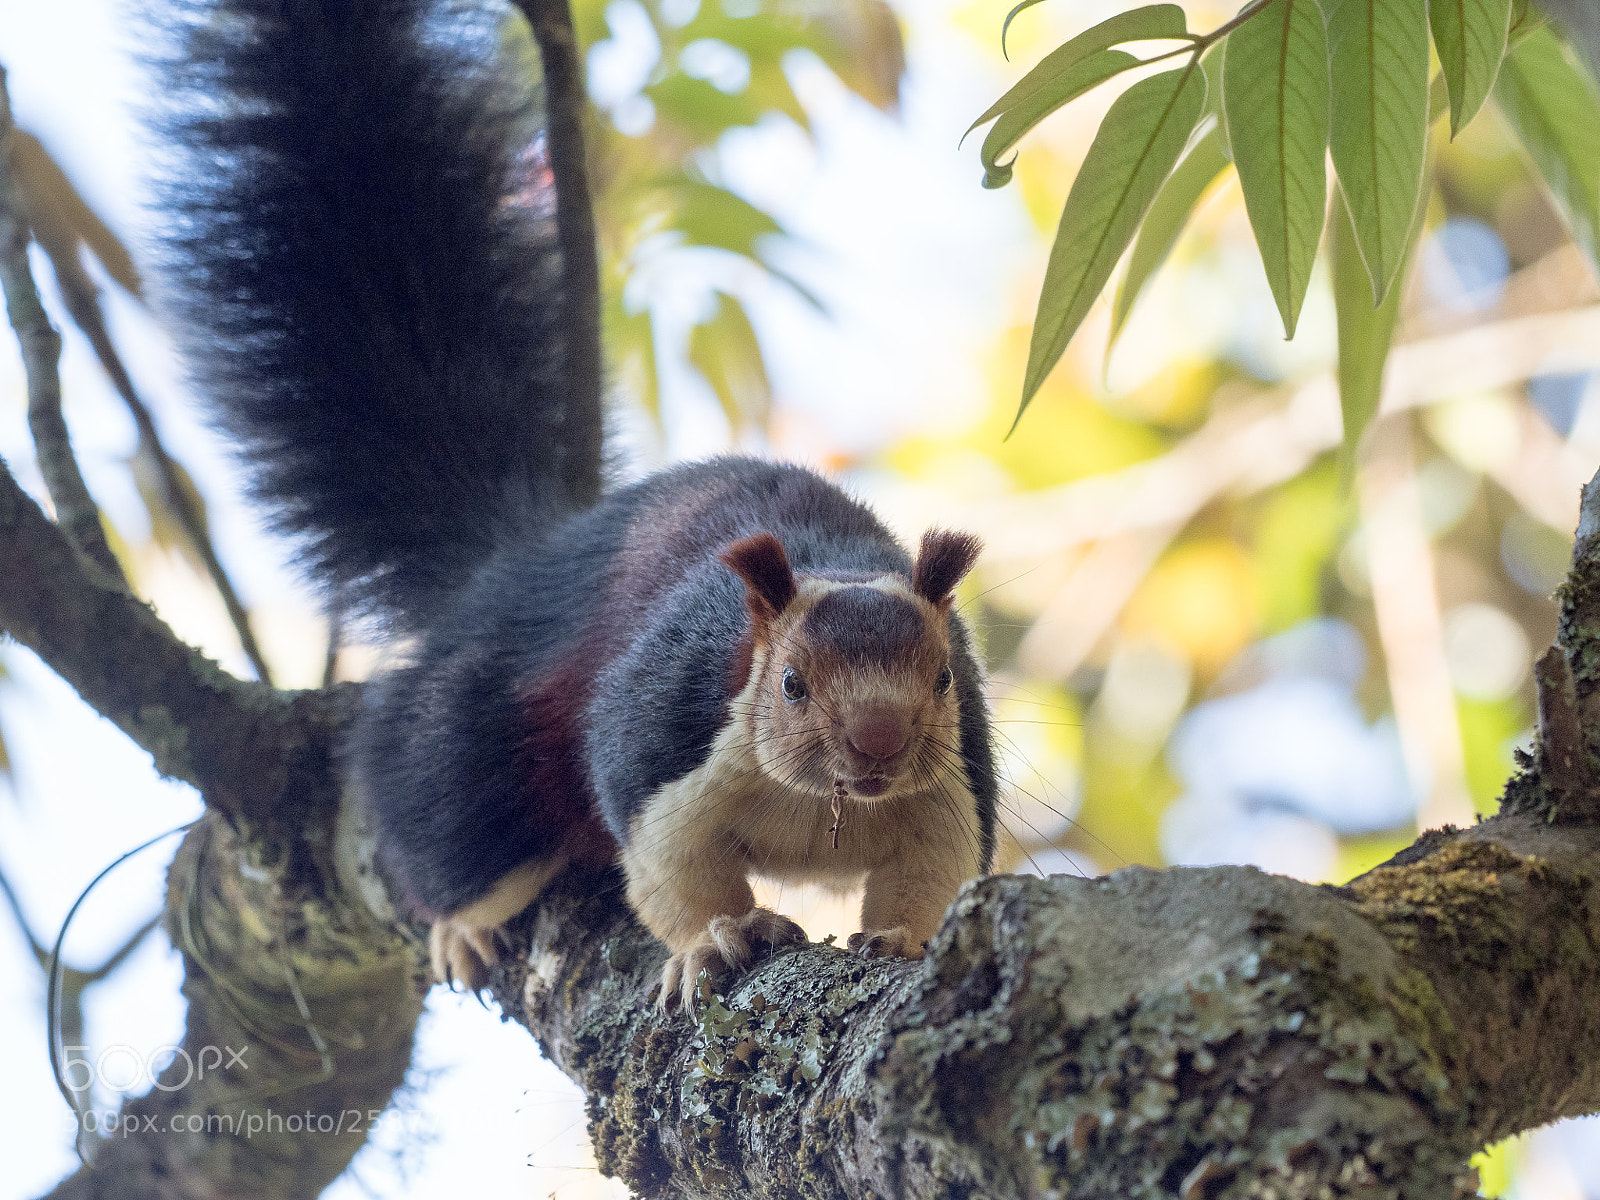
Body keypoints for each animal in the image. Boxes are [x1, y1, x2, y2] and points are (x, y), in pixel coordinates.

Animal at [156, 0, 998, 1010]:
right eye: (791, 683)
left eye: (942, 678)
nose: (877, 744)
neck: (818, 801)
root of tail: (518, 562)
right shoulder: (666, 734)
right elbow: (669, 864)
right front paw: (714, 940)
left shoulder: (957, 776)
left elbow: (936, 864)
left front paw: (903, 940)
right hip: (469, 749)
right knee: (460, 834)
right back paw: (461, 924)